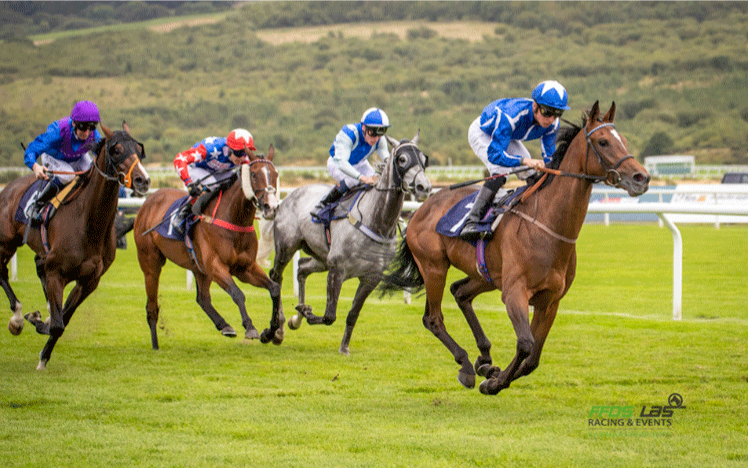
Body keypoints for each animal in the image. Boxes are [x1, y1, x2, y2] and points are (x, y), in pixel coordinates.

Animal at [0, 121, 150, 370]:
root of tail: (9, 187)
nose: (143, 180)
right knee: (2, 271)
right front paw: (41, 353)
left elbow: (63, 318)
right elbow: (57, 324)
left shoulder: (88, 281)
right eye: (116, 150)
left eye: (139, 149)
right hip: (6, 241)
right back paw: (17, 318)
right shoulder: (56, 273)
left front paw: (42, 331)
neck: (88, 221)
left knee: (36, 265)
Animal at [131, 148, 280, 350]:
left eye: (275, 175)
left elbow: (274, 288)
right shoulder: (216, 266)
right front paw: (250, 328)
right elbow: (238, 294)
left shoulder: (245, 268)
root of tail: (147, 202)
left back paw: (224, 325)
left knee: (202, 298)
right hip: (151, 263)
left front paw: (272, 331)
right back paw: (155, 345)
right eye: (255, 175)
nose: (271, 207)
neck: (234, 219)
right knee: (152, 306)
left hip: (199, 268)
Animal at [268, 134, 432, 354]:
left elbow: (352, 314)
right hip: (287, 247)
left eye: (423, 159)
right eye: (402, 159)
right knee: (276, 278)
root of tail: (289, 197)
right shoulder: (337, 269)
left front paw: (344, 348)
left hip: (321, 257)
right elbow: (329, 316)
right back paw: (276, 330)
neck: (376, 222)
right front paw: (306, 311)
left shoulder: (371, 277)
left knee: (302, 268)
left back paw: (295, 320)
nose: (424, 187)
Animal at [380, 103, 648, 394]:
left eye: (623, 140)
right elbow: (526, 344)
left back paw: (484, 359)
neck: (547, 224)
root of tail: (423, 208)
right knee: (433, 318)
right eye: (603, 141)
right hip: (434, 268)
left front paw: (494, 374)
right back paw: (466, 366)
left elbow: (533, 359)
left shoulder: (550, 300)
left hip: (486, 275)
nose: (642, 177)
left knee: (460, 293)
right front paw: (493, 384)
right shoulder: (514, 293)